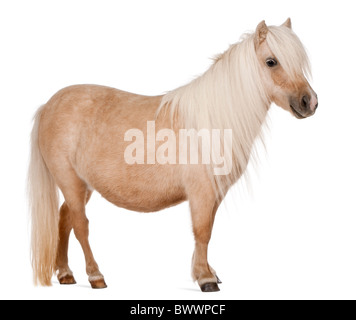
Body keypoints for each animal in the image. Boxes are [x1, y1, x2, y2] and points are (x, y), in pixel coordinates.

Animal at [28, 18, 318, 292]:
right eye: (271, 62)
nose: (310, 102)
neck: (213, 120)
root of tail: (49, 105)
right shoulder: (202, 192)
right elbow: (202, 232)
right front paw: (205, 279)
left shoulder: (214, 194)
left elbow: (206, 231)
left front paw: (209, 272)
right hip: (69, 181)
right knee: (80, 225)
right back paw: (95, 276)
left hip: (82, 185)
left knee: (64, 219)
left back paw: (65, 274)